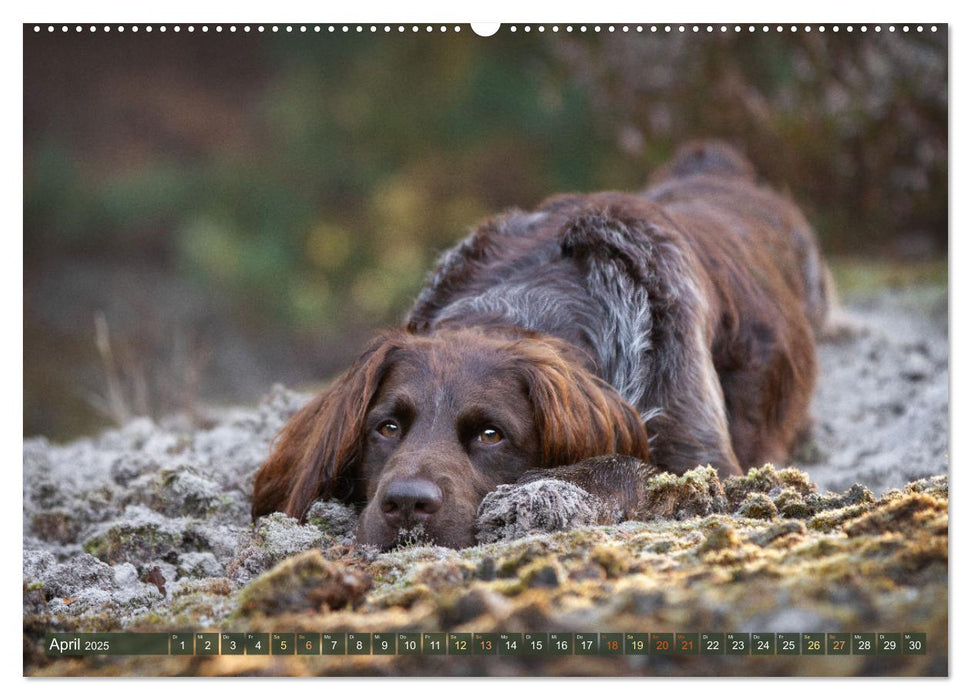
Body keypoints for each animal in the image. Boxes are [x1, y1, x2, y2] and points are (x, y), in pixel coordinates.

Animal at [251, 141, 836, 548]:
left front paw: (534, 497)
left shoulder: (708, 462)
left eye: (491, 435)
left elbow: (626, 465)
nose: (407, 504)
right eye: (387, 428)